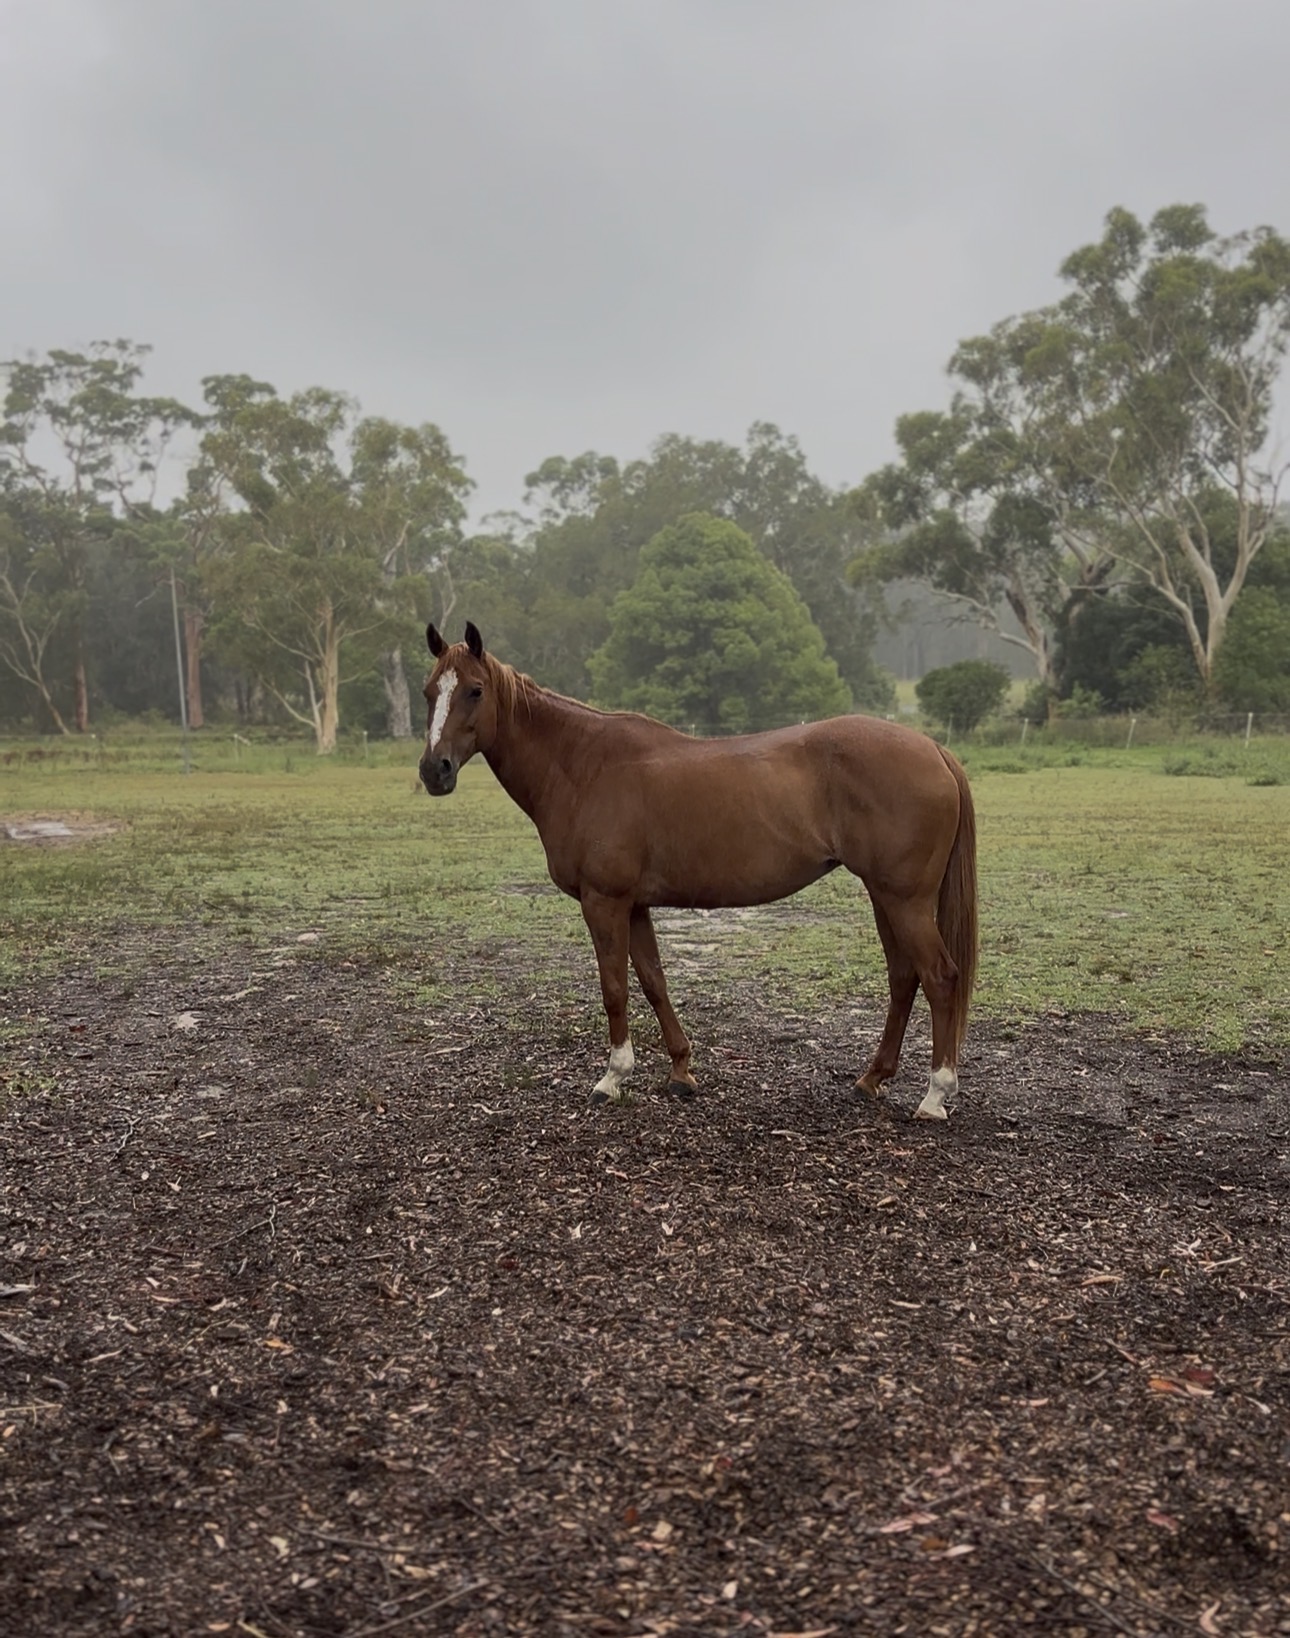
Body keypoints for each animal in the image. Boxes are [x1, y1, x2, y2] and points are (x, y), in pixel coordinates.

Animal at [418, 622, 977, 1120]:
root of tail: (934, 749)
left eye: (474, 690)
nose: (433, 770)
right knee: (904, 978)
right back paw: (871, 1079)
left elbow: (614, 987)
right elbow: (653, 981)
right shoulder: (634, 905)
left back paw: (935, 1096)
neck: (583, 767)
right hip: (886, 898)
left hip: (905, 901)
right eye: (428, 693)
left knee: (940, 977)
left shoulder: (604, 901)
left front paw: (611, 1078)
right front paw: (681, 1071)